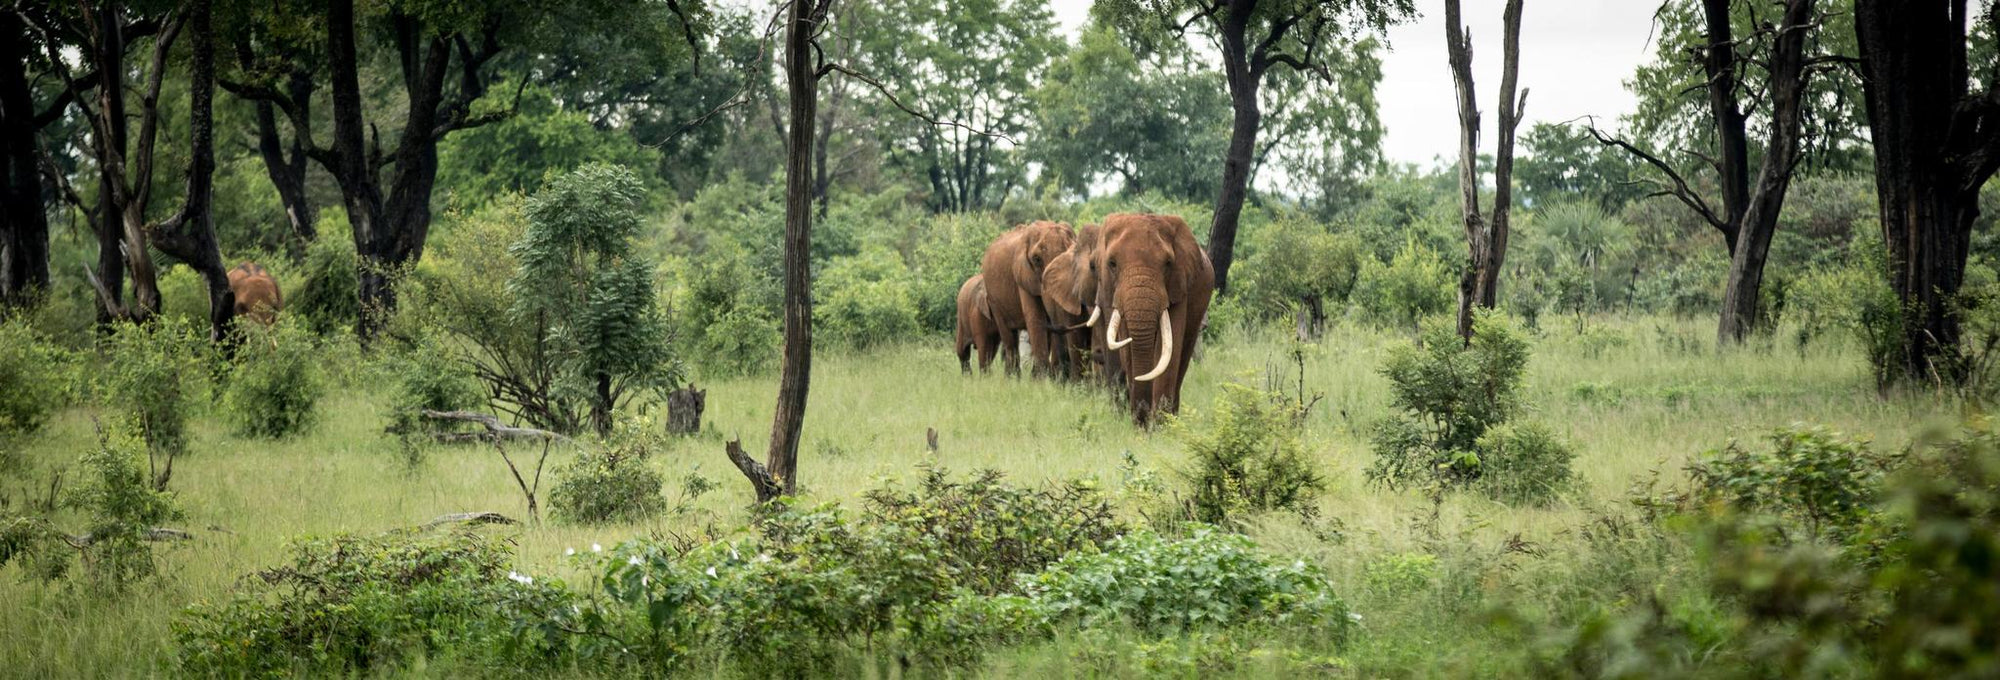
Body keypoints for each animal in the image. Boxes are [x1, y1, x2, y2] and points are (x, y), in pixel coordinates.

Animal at [978, 220, 1076, 378]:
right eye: (1036, 260)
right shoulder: (1022, 276)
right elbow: (1035, 317)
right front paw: (1041, 379)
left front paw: (1047, 378)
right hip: (993, 299)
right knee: (1009, 336)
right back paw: (1012, 378)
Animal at [1095, 213, 1213, 425]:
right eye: (1112, 264)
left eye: (1168, 264)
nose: (1143, 413)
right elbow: (1127, 347)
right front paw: (1140, 424)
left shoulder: (1178, 286)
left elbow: (1169, 351)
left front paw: (1161, 425)